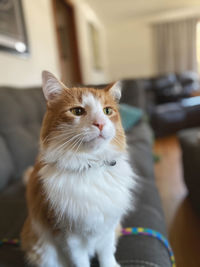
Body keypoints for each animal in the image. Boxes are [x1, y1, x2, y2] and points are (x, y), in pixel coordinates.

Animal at [21, 71, 135, 267]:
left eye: (107, 111)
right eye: (77, 111)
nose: (100, 124)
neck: (91, 165)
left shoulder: (109, 226)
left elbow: (107, 255)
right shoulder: (67, 236)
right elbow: (80, 261)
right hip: (42, 248)